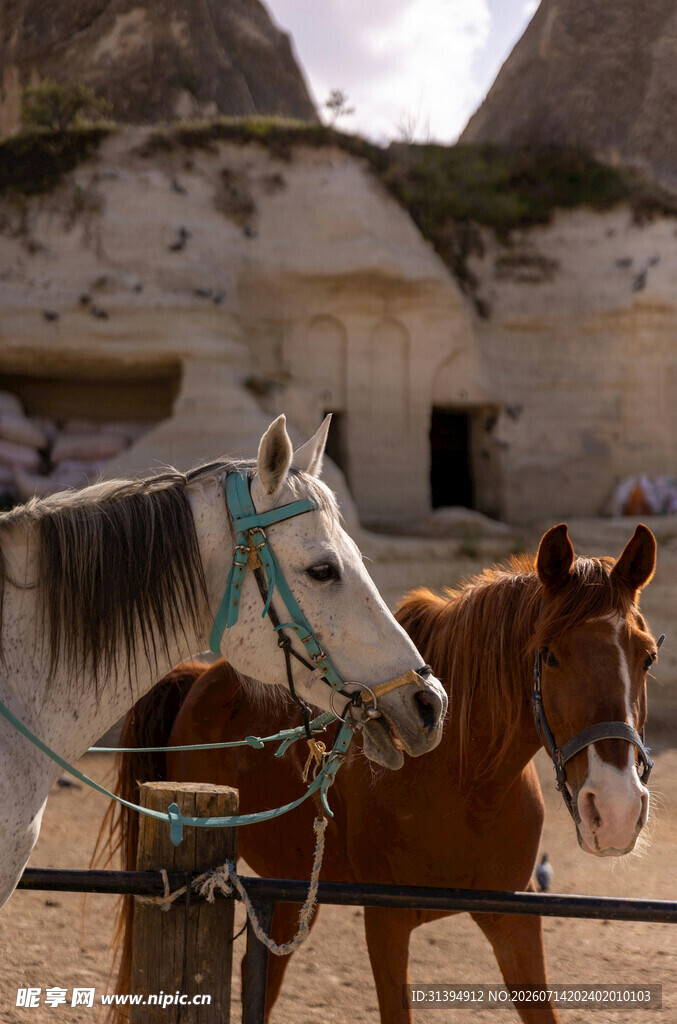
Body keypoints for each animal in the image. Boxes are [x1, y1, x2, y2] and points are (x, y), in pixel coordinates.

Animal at [108, 522, 660, 1023]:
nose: (615, 810)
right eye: (550, 655)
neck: (464, 783)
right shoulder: (387, 922)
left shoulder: (514, 917)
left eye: (649, 657)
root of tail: (201, 677)